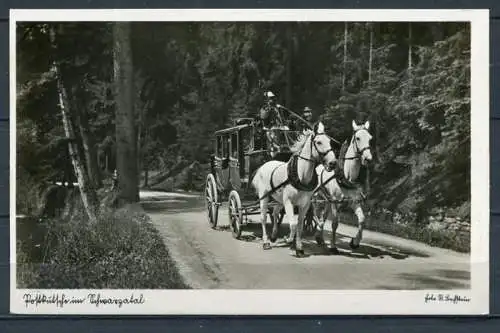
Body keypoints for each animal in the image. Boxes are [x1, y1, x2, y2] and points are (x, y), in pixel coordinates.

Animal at [252, 122, 338, 256]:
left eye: (329, 141)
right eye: (318, 142)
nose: (333, 163)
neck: (300, 176)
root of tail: (263, 166)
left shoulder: (305, 204)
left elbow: (300, 225)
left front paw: (299, 248)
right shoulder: (288, 202)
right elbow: (292, 224)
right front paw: (288, 239)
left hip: (278, 199)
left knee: (275, 212)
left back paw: (274, 236)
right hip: (264, 197)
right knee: (263, 217)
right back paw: (266, 242)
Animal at [312, 120, 372, 253]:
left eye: (370, 138)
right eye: (358, 138)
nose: (368, 158)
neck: (347, 176)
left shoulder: (354, 202)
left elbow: (362, 220)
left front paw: (355, 242)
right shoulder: (336, 203)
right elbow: (335, 223)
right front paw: (333, 246)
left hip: (327, 199)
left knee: (323, 215)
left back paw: (320, 236)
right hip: (316, 196)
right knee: (314, 211)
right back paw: (318, 227)